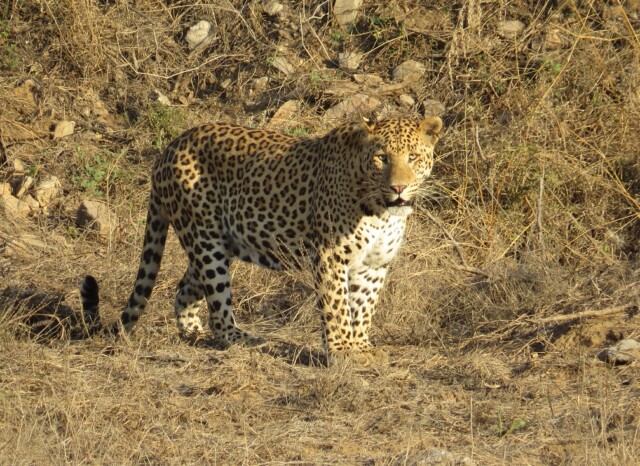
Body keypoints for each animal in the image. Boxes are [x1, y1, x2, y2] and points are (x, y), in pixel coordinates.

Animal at [81, 115, 443, 365]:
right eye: (382, 157)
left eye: (413, 157)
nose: (398, 187)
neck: (382, 211)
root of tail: (170, 147)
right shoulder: (329, 255)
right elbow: (338, 306)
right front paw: (341, 350)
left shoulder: (374, 264)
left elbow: (364, 307)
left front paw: (361, 346)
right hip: (206, 240)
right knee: (218, 309)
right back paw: (243, 339)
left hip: (216, 243)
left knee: (184, 289)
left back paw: (194, 334)